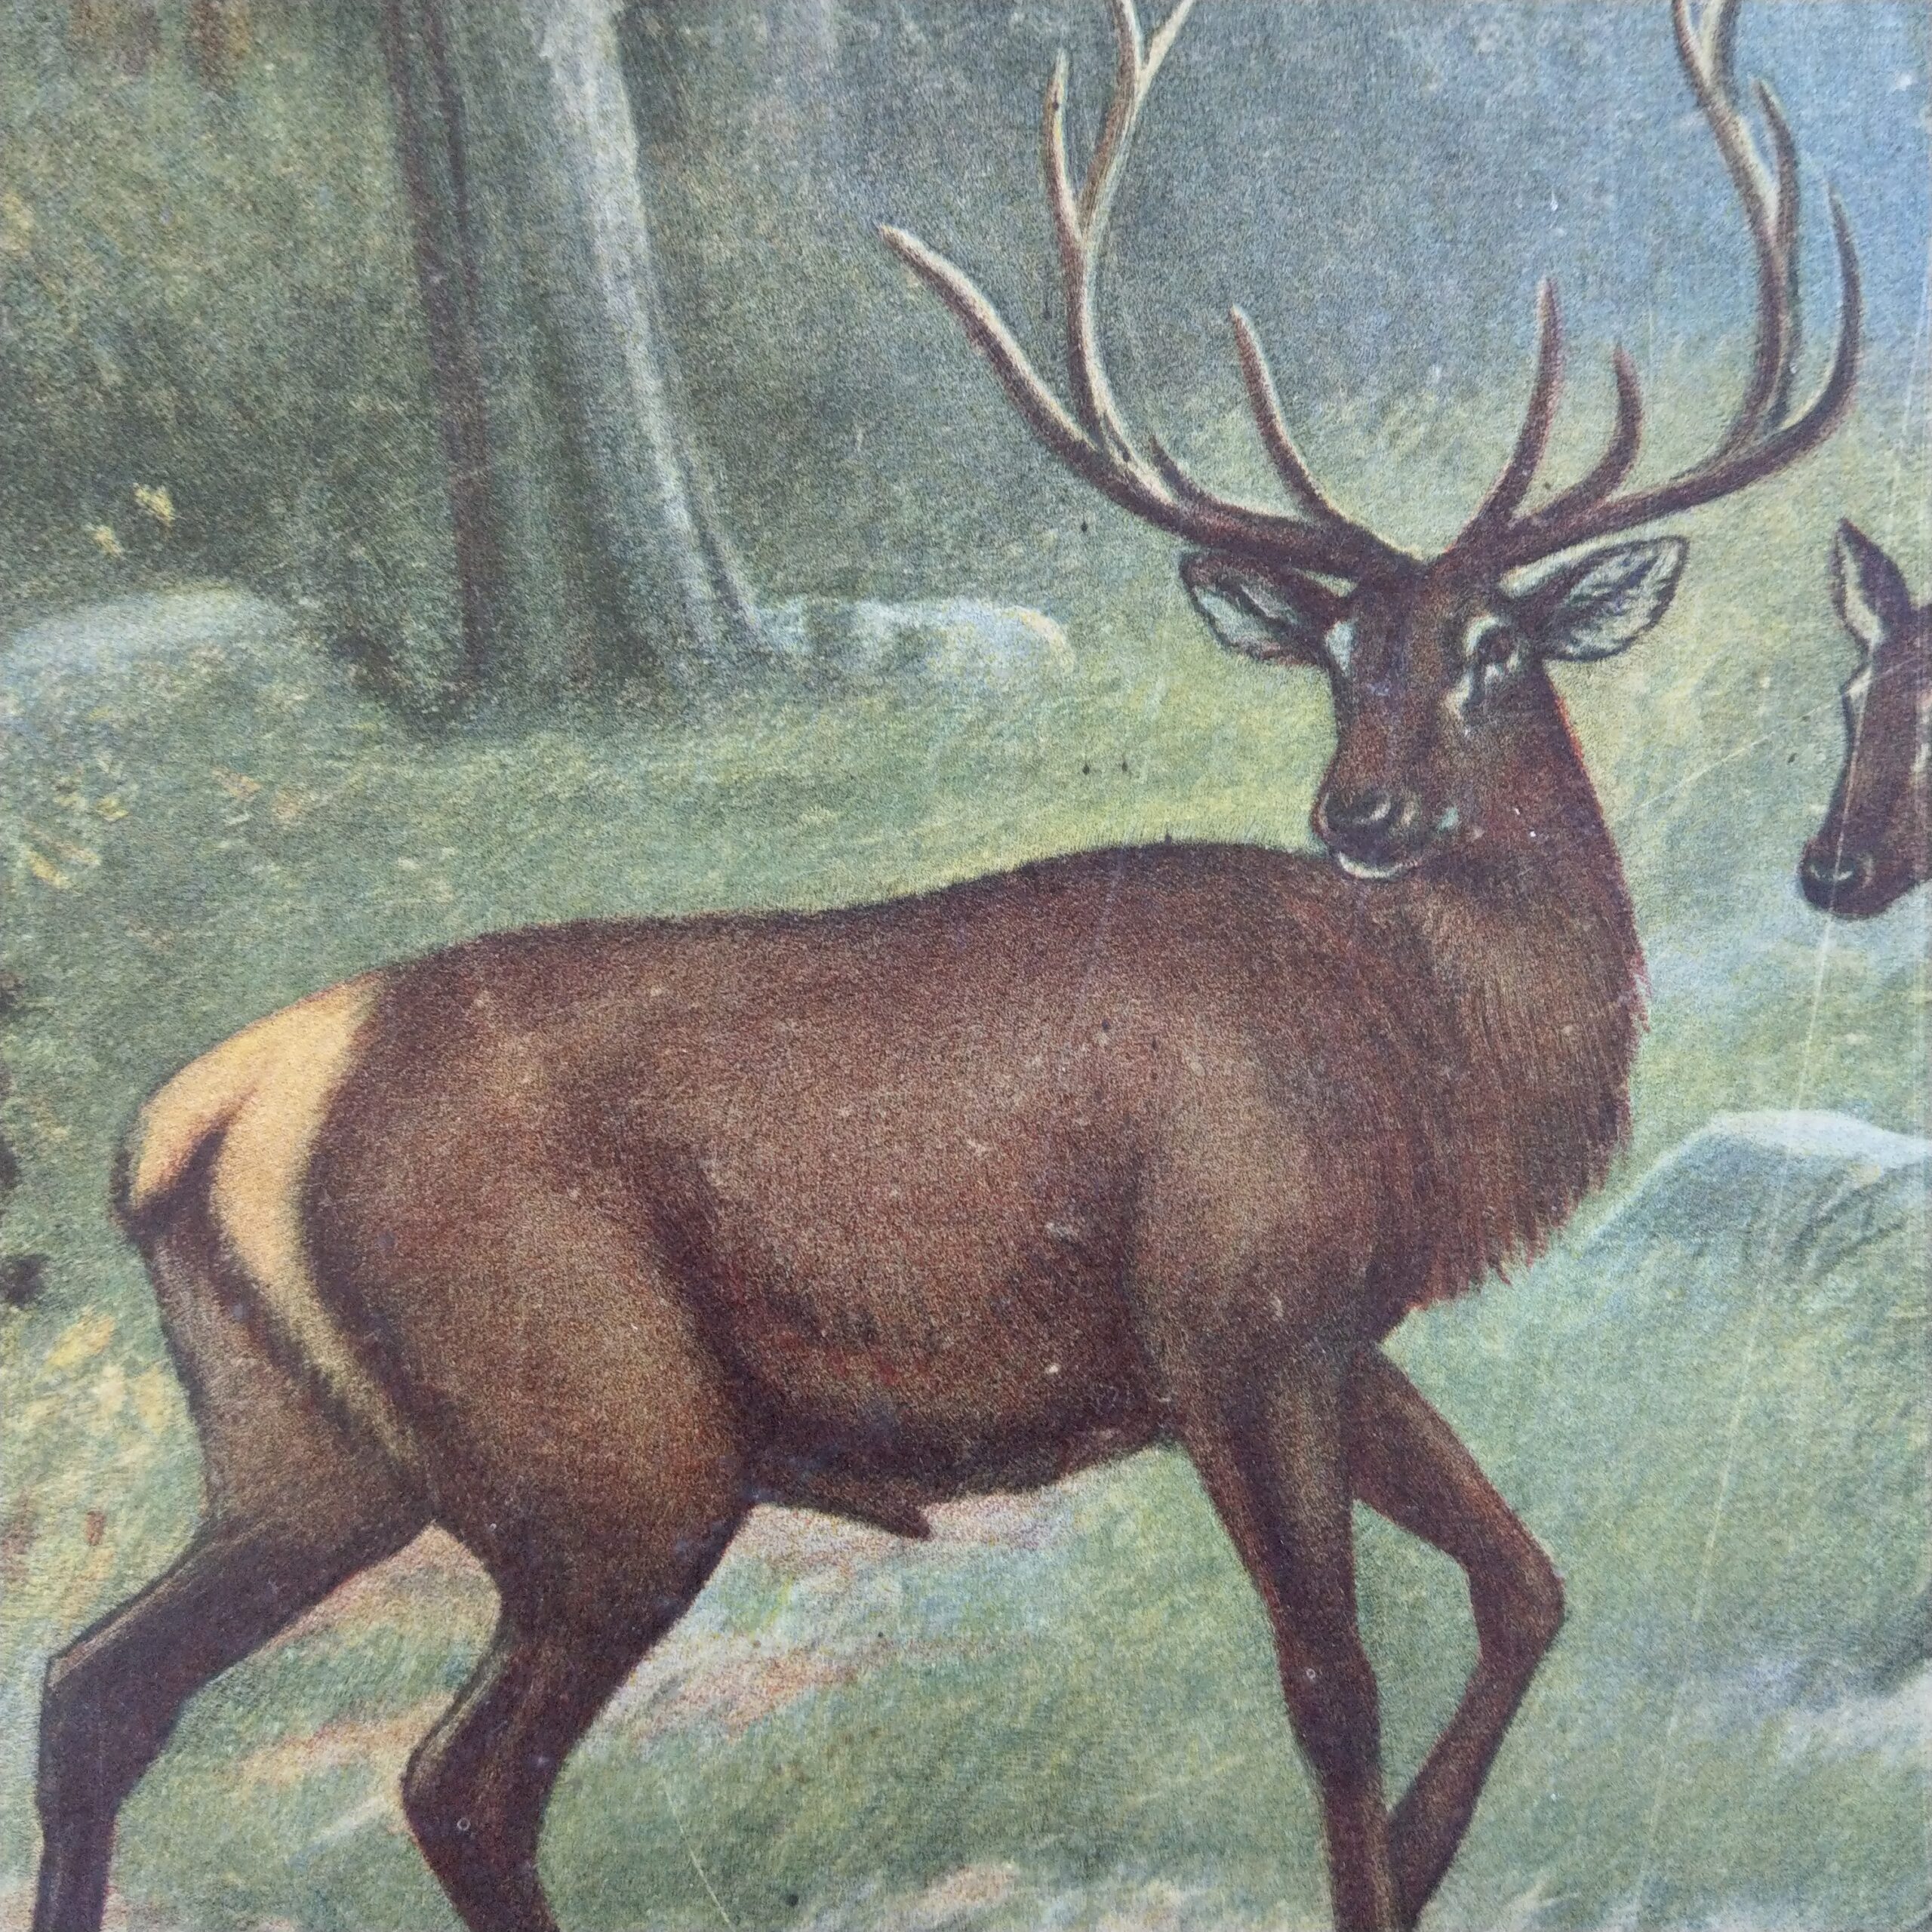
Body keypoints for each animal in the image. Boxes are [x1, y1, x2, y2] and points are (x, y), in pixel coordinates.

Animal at [30, 3, 1859, 1929]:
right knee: (456, 1777)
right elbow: (1330, 1682)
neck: (1420, 1063)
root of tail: (210, 1114)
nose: (1356, 809)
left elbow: (1525, 1581)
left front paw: (1429, 1856)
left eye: (1493, 645)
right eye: (1337, 652)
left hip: (304, 1448)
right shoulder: (1231, 1309)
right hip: (606, 1441)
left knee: (93, 1680)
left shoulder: (1334, 1326)